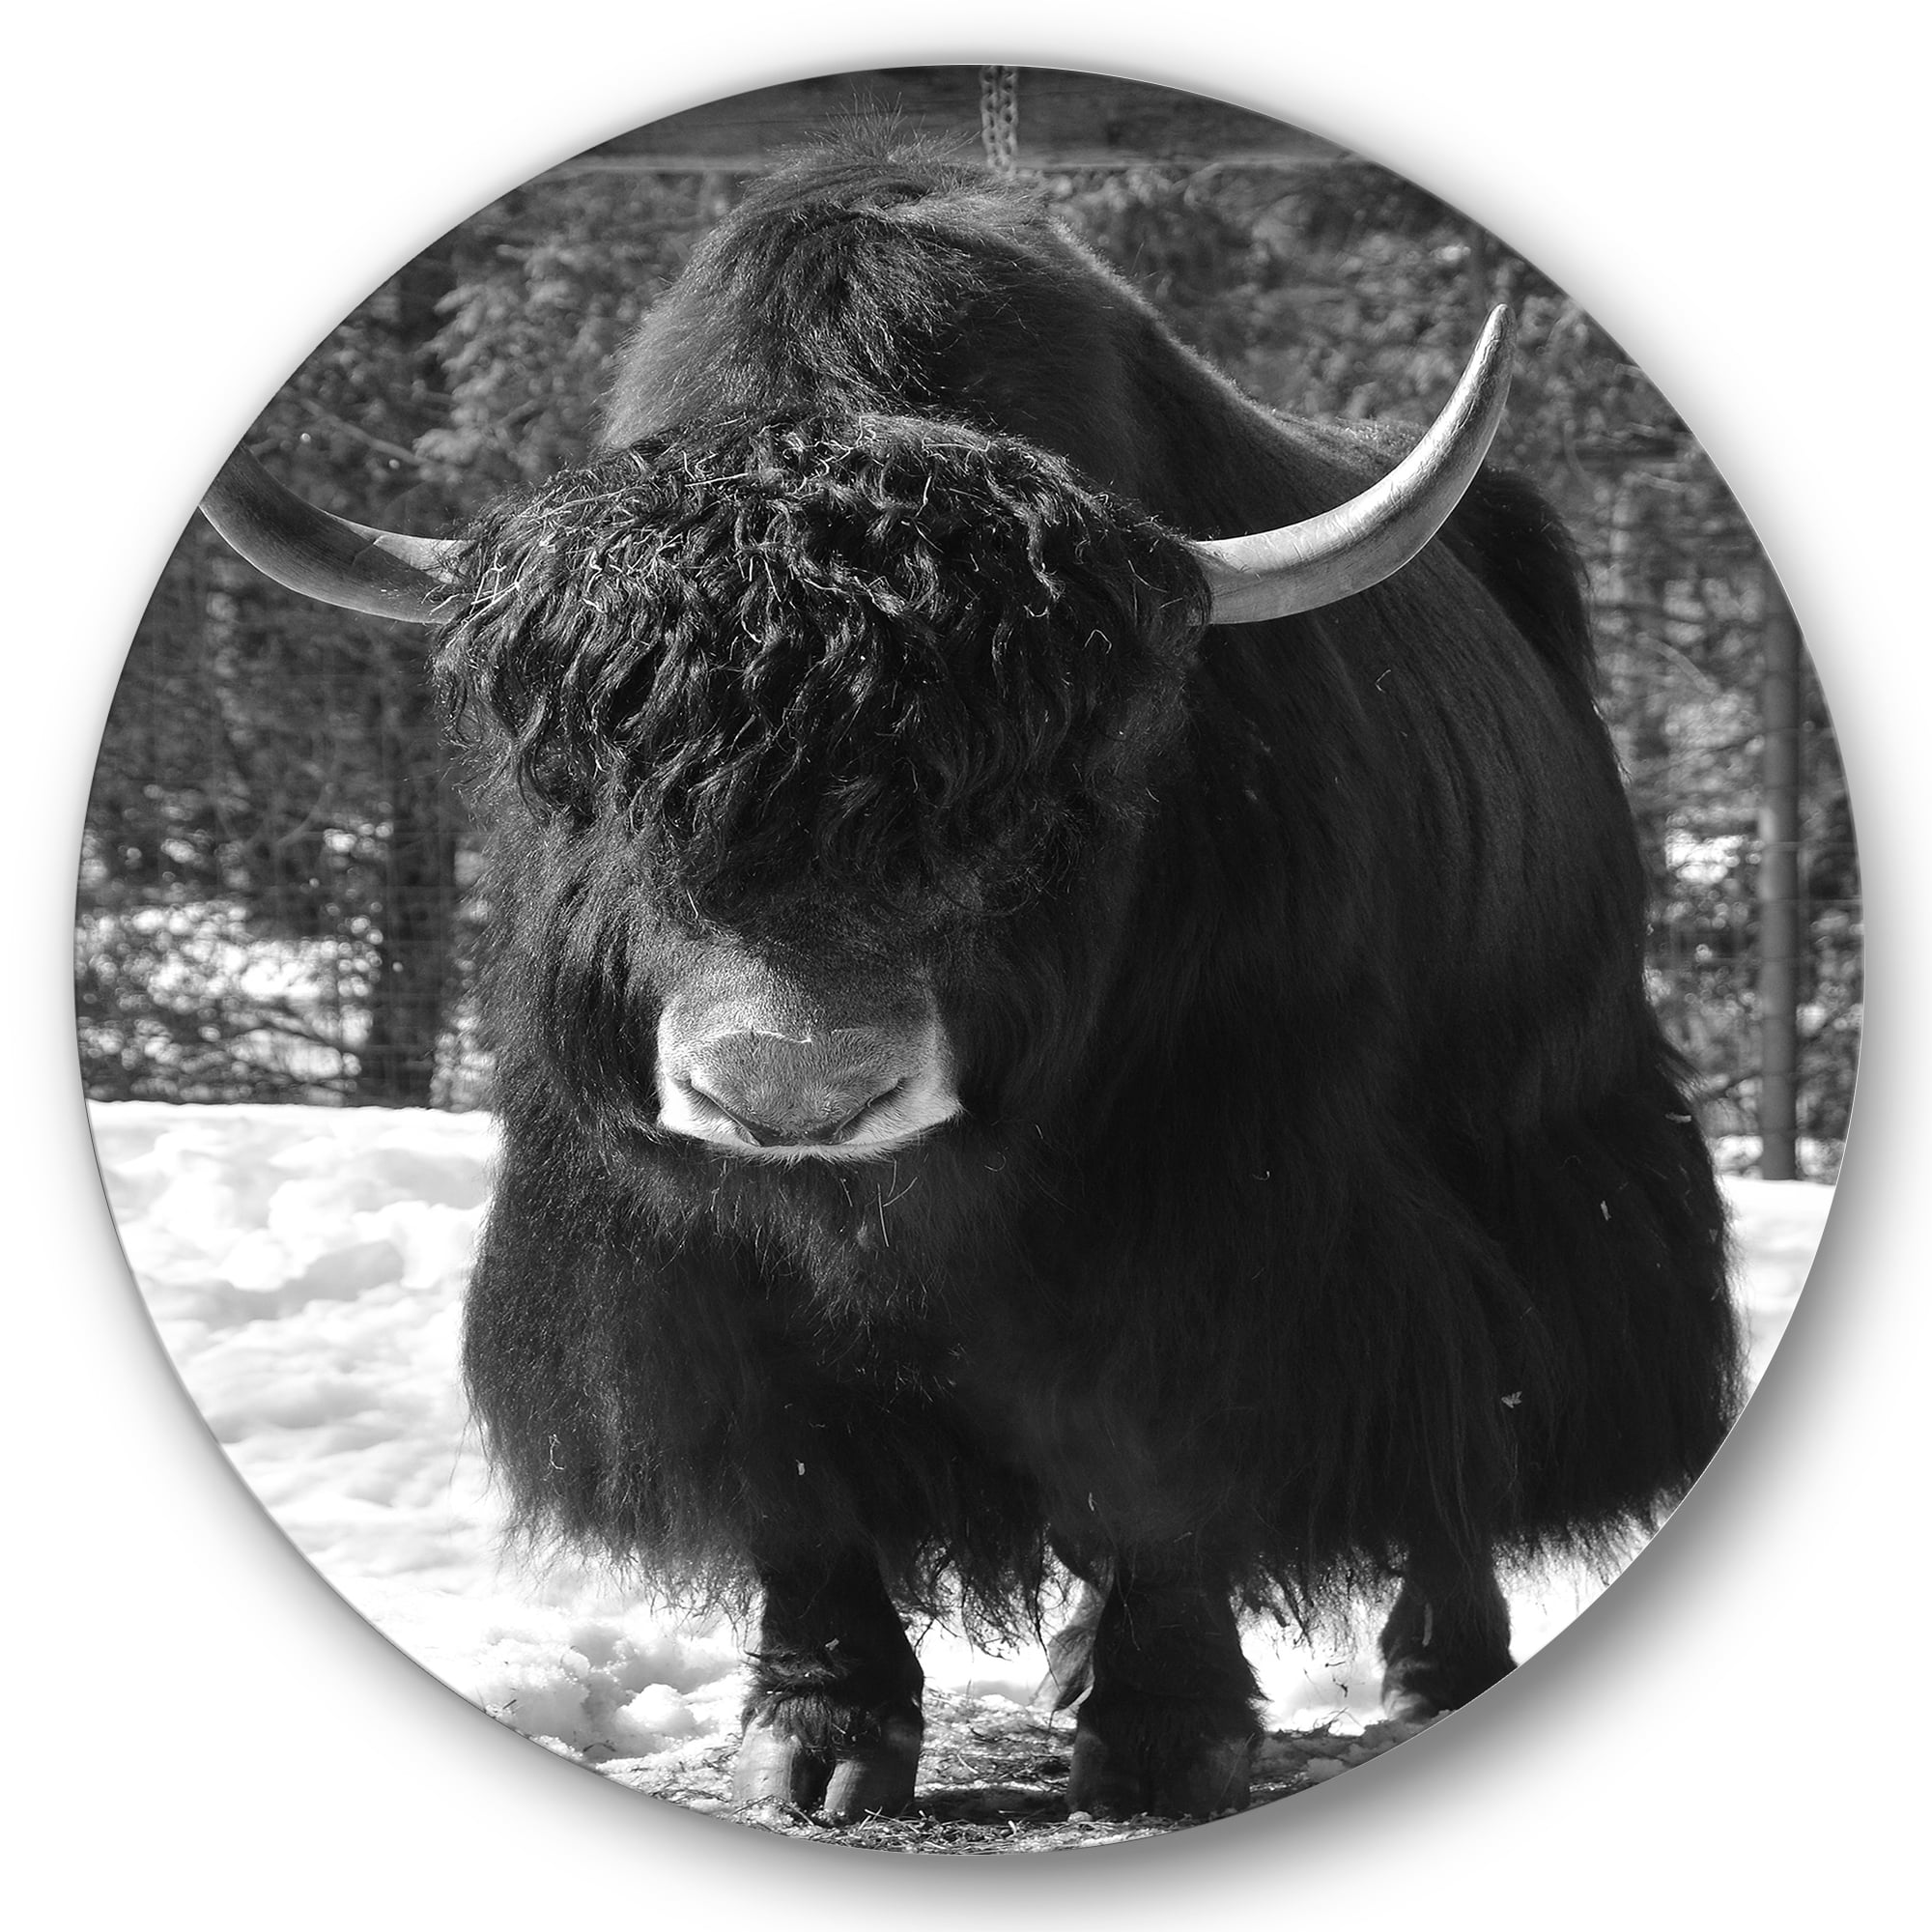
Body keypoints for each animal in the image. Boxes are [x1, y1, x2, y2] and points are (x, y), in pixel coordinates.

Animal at [201, 143, 1743, 1825]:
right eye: (593, 778)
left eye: (1035, 793)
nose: (791, 1093)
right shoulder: (675, 1249)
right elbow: (789, 1467)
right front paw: (817, 1739)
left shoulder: (1224, 1203)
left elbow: (1169, 1443)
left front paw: (1166, 1738)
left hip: (1538, 1136)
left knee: (1480, 1403)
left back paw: (1437, 1665)